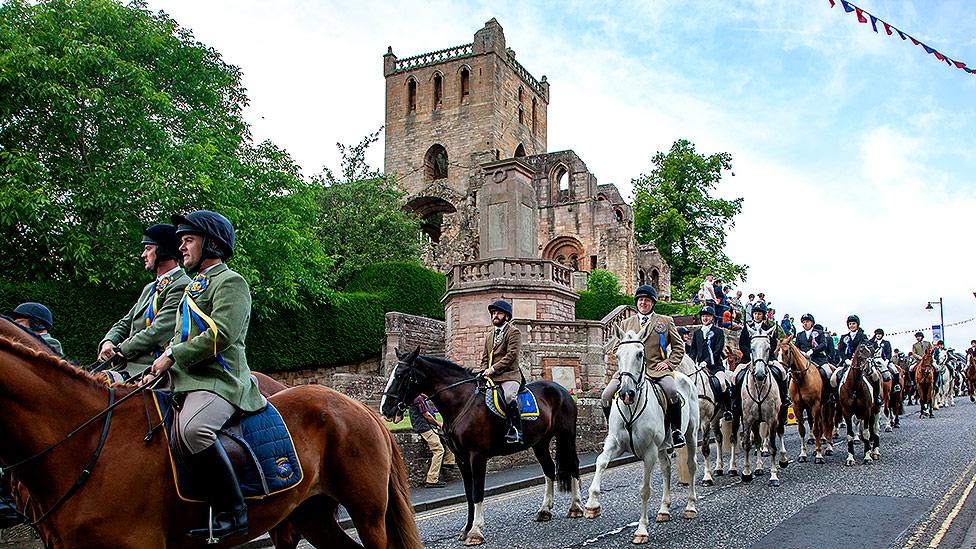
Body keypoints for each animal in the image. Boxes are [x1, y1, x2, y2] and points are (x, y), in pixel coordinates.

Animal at [380, 346, 580, 544]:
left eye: (401, 375)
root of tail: (560, 389)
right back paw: (544, 510)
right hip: (540, 442)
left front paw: (475, 531)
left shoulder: (477, 455)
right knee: (549, 469)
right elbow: (469, 493)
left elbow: (477, 491)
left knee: (573, 466)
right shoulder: (461, 457)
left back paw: (576, 507)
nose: (385, 409)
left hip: (567, 435)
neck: (461, 401)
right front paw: (466, 528)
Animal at [584, 326, 696, 544]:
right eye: (617, 354)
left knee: (691, 466)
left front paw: (641, 530)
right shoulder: (615, 443)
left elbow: (644, 490)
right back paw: (663, 510)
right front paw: (592, 504)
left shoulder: (649, 452)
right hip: (662, 446)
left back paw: (690, 506)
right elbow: (601, 462)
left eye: (640, 354)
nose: (626, 393)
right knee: (666, 469)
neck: (631, 408)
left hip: (691, 435)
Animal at [732, 324, 784, 486]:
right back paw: (758, 468)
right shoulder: (748, 420)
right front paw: (746, 473)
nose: (760, 374)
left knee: (780, 433)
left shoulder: (772, 420)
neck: (759, 386)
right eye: (751, 348)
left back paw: (783, 459)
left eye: (768, 348)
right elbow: (748, 444)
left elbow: (773, 446)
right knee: (755, 440)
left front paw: (774, 476)